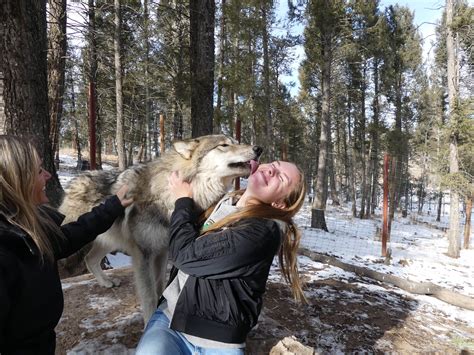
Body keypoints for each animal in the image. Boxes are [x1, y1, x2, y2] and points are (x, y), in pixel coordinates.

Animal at [59, 136, 262, 322]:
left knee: (89, 259)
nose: (258, 148)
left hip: (109, 240)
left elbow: (159, 285)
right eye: (224, 145)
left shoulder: (163, 250)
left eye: (236, 141)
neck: (167, 195)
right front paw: (149, 319)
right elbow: (148, 295)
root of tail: (74, 181)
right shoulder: (143, 254)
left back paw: (107, 282)